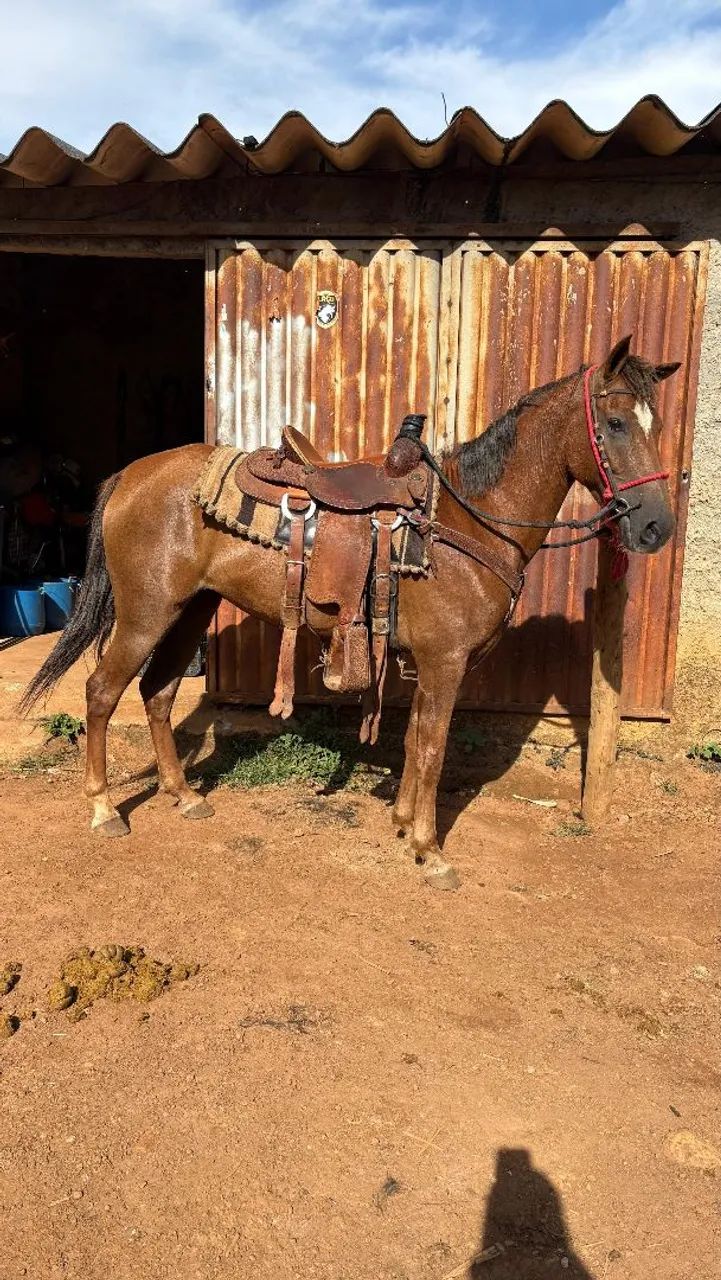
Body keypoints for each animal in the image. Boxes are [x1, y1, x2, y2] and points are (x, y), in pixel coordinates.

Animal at [21, 336, 679, 889]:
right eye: (616, 423)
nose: (657, 527)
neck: (468, 521)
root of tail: (129, 475)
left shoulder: (427, 665)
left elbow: (412, 740)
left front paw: (403, 824)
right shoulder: (446, 663)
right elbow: (434, 748)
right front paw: (430, 849)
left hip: (190, 610)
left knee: (157, 692)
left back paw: (183, 796)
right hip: (146, 613)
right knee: (102, 692)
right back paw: (104, 808)